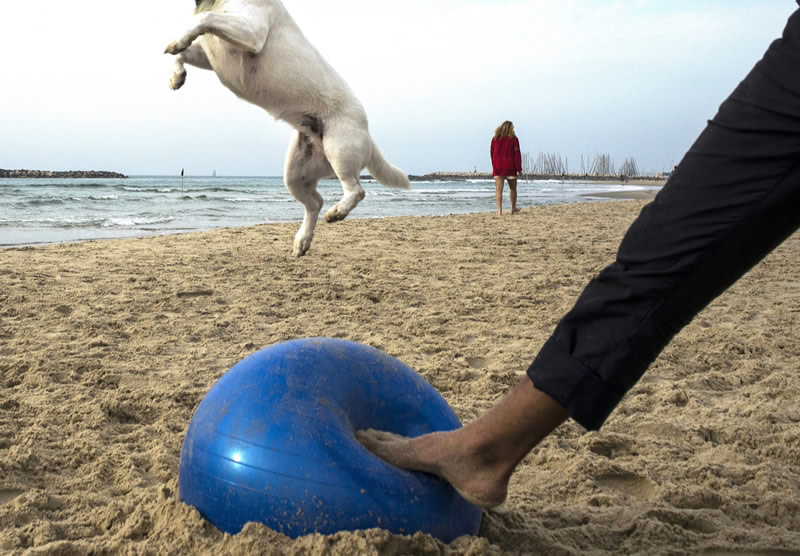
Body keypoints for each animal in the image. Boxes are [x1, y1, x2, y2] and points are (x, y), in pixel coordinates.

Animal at [166, 0, 410, 256]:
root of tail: (368, 134)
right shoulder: (209, 54)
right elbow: (183, 53)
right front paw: (176, 75)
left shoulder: (252, 32)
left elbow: (204, 20)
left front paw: (177, 41)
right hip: (294, 174)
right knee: (315, 203)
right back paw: (302, 240)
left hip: (339, 150)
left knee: (355, 190)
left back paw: (336, 213)